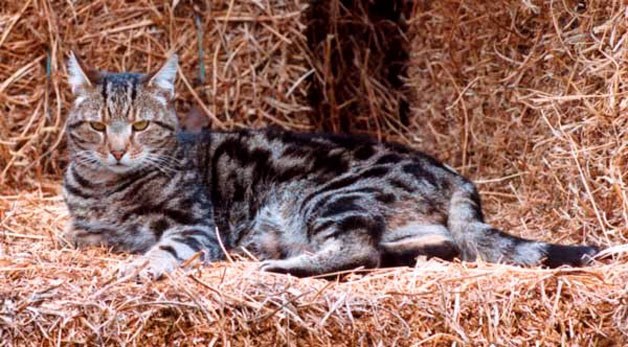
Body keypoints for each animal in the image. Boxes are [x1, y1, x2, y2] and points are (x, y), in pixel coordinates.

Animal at [61, 53, 600, 278]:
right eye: (97, 126)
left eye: (140, 125)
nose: (117, 150)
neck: (106, 186)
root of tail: (454, 175)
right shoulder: (84, 234)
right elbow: (86, 239)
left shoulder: (196, 227)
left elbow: (163, 249)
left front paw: (140, 269)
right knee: (426, 246)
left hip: (327, 196)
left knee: (360, 250)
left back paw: (282, 265)